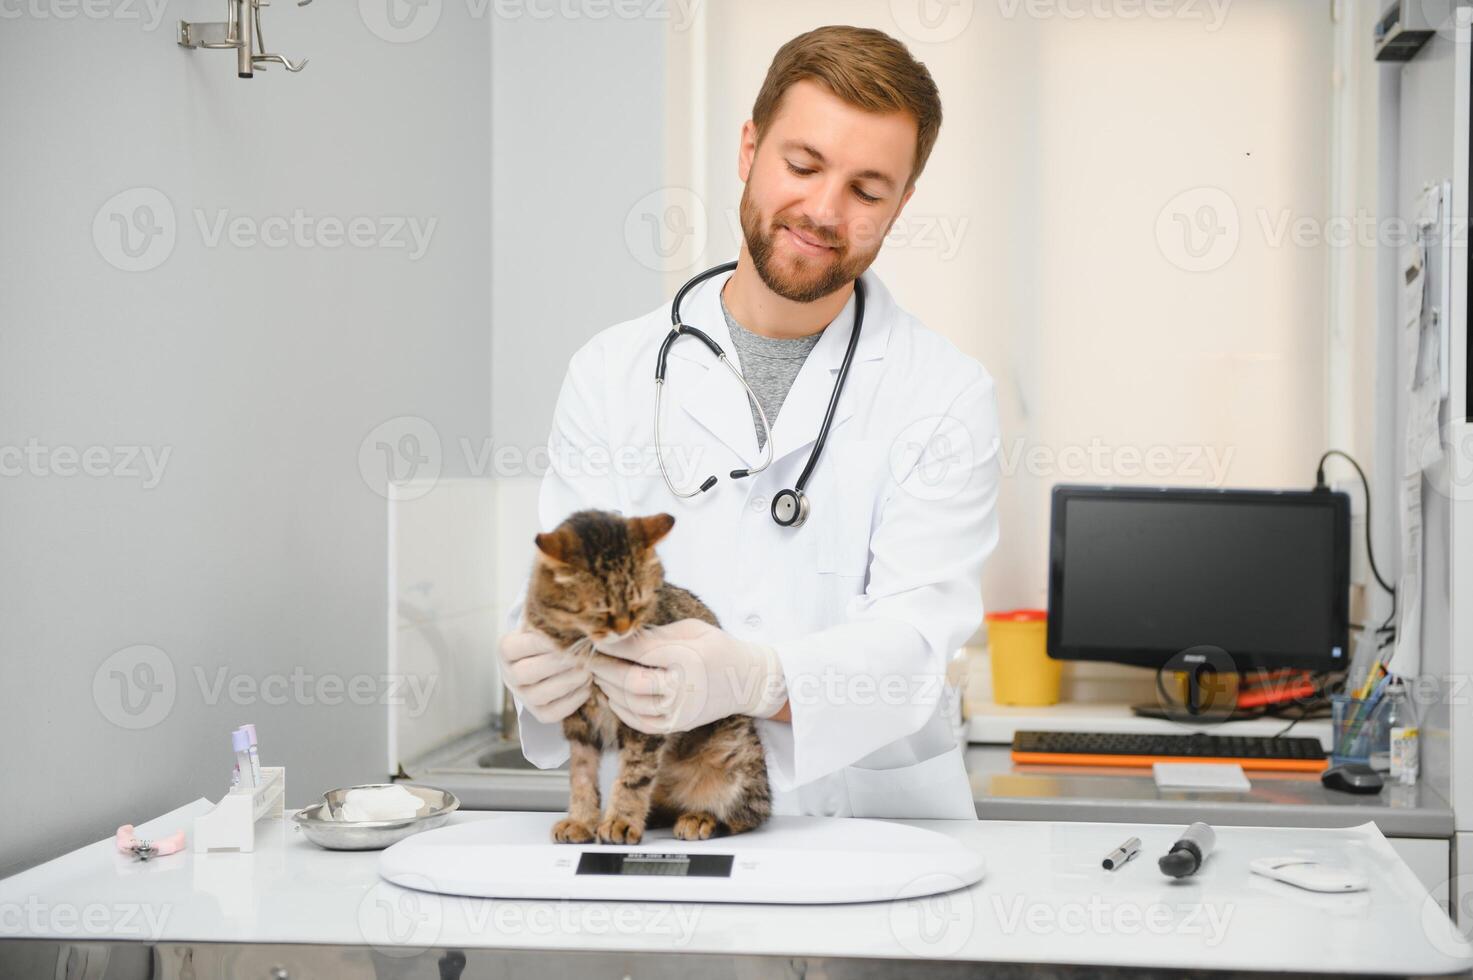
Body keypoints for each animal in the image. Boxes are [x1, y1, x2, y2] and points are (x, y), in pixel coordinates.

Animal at [524, 506, 771, 842]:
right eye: (601, 612)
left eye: (638, 604)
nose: (623, 629)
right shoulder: (578, 723)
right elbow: (582, 777)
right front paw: (581, 821)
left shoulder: (647, 718)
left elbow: (634, 776)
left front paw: (620, 821)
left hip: (736, 757)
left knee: (745, 815)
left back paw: (698, 818)